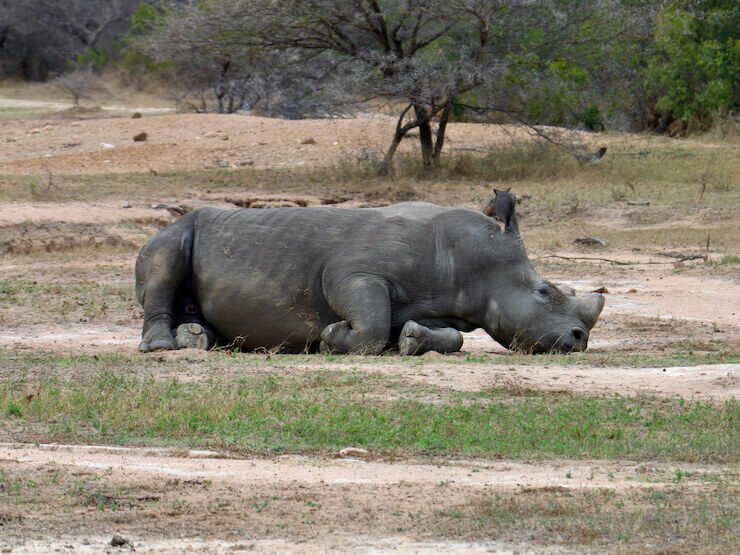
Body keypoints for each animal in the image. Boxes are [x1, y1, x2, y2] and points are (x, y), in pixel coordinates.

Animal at [135, 195, 604, 355]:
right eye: (545, 292)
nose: (580, 338)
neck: (475, 266)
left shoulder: (438, 303)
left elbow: (448, 337)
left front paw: (412, 341)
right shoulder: (352, 273)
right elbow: (373, 325)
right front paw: (330, 338)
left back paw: (196, 339)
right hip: (173, 231)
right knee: (164, 258)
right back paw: (162, 347)